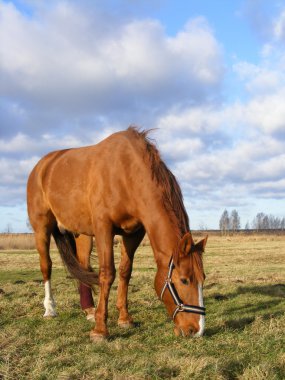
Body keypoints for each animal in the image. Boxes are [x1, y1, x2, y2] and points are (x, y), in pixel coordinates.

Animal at [27, 127, 206, 342]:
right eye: (184, 280)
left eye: (203, 279)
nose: (197, 330)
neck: (126, 173)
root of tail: (42, 165)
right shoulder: (104, 228)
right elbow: (107, 273)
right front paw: (100, 330)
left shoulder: (133, 233)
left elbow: (125, 271)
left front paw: (124, 318)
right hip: (42, 228)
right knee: (46, 266)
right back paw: (50, 309)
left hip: (82, 234)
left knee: (82, 265)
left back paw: (89, 310)